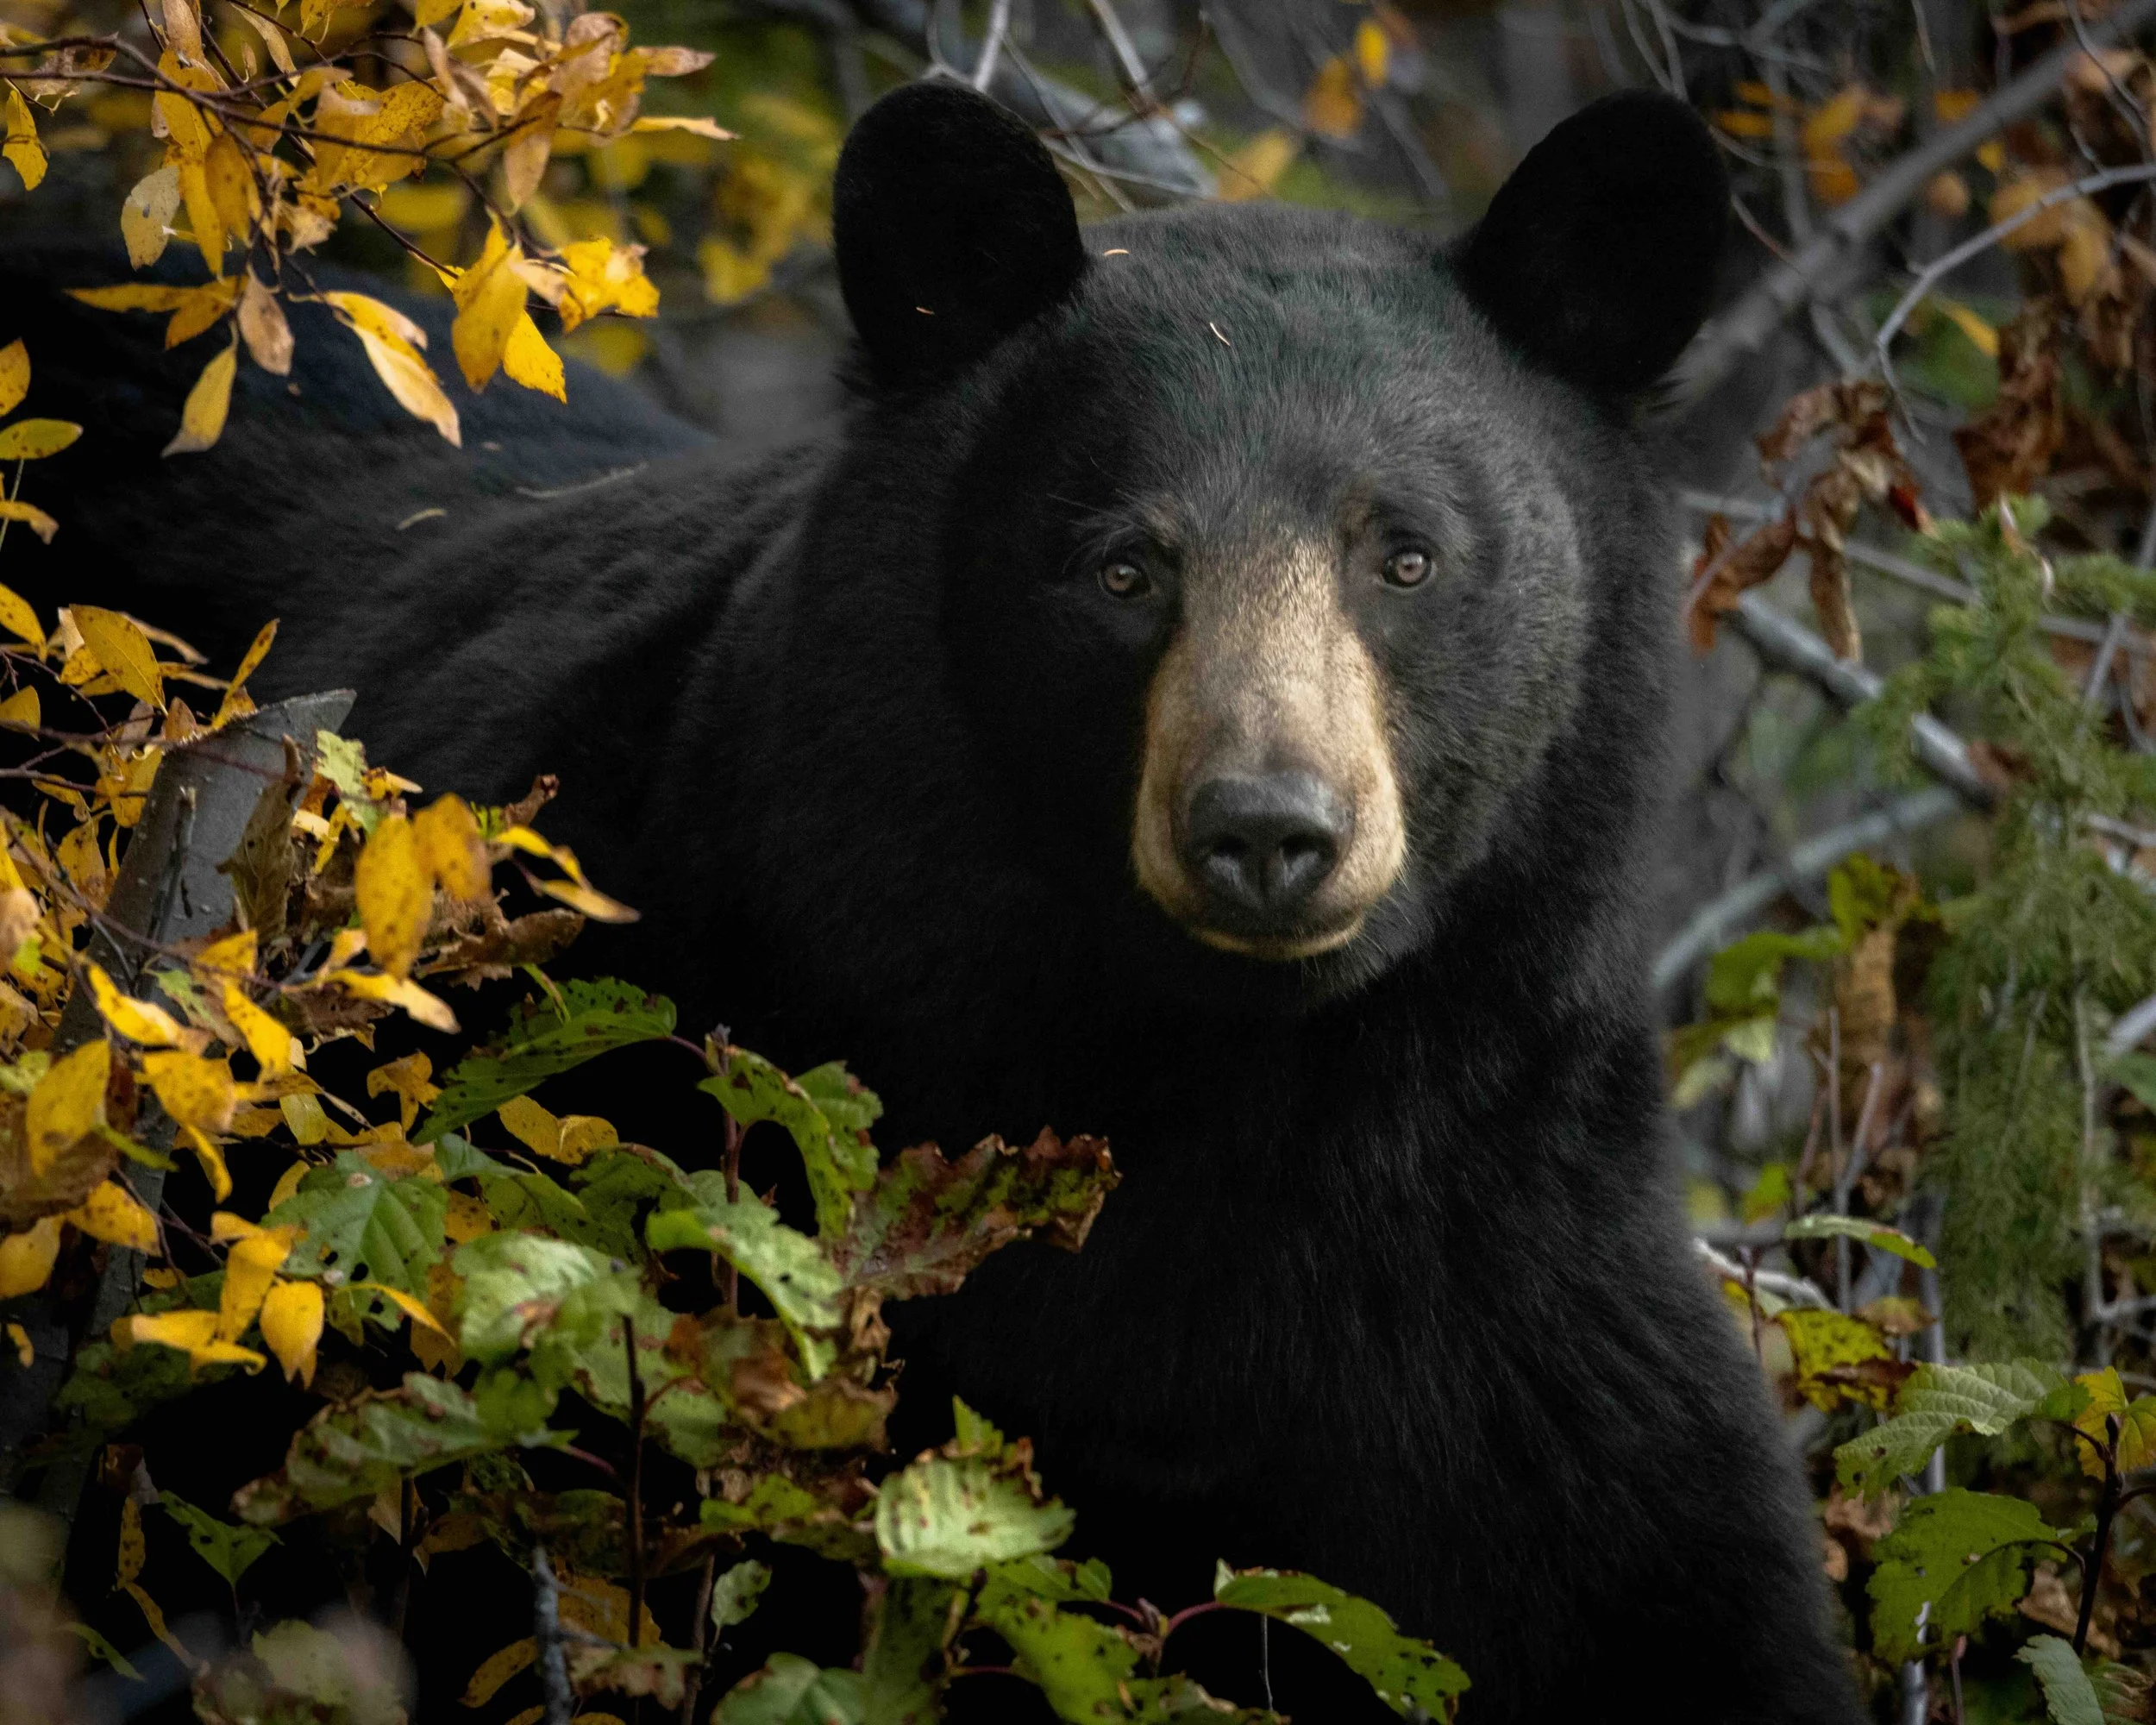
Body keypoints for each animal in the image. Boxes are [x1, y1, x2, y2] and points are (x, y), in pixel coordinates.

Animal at [3, 82, 1860, 1723]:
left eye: (1404, 553)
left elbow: (1664, 1597)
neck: (1228, 1109)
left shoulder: (1506, 1296)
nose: (1266, 829)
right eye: (1121, 568)